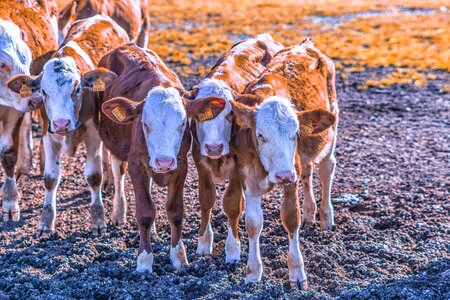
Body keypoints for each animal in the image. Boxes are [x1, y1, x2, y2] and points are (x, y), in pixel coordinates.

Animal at [0, 0, 59, 220]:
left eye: (28, 59)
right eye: (2, 64)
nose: (36, 100)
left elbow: (8, 152)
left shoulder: (12, 110)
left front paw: (10, 203)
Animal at [7, 14, 130, 234]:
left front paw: (99, 220)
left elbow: (94, 176)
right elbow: (50, 178)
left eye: (77, 89)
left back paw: (119, 211)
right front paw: (46, 223)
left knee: (118, 168)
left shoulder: (93, 134)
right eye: (43, 92)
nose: (62, 123)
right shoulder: (49, 135)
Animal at [96, 44, 196, 272]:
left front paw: (179, 257)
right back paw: (118, 213)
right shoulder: (137, 164)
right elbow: (144, 212)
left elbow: (175, 212)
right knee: (118, 172)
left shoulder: (181, 165)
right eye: (145, 124)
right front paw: (144, 261)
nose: (164, 162)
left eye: (182, 124)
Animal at [185, 34, 282, 262]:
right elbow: (206, 198)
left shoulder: (239, 165)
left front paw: (233, 249)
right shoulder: (199, 160)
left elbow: (231, 203)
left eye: (229, 114)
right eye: (199, 114)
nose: (213, 147)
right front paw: (204, 242)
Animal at [200, 38, 338, 288]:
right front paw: (253, 272)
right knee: (308, 172)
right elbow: (253, 223)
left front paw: (297, 273)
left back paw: (326, 216)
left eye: (295, 134)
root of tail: (306, 44)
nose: (283, 175)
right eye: (261, 135)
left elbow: (290, 219)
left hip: (331, 131)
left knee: (326, 169)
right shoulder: (248, 178)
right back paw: (310, 213)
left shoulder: (291, 177)